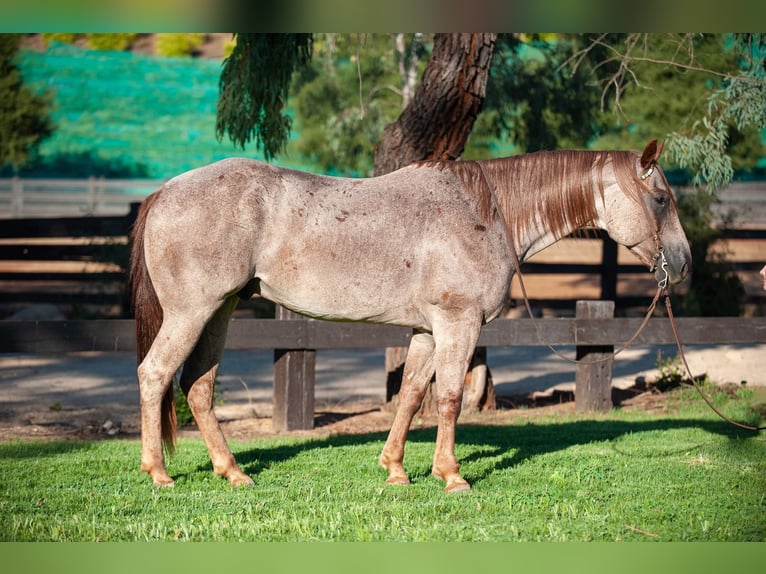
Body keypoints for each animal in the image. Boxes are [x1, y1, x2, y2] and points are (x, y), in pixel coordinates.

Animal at [129, 141, 692, 496]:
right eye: (661, 199)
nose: (683, 263)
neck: (485, 211)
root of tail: (164, 192)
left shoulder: (426, 329)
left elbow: (412, 393)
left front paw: (395, 470)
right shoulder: (458, 324)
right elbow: (449, 398)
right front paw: (452, 475)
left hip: (220, 310)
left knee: (198, 386)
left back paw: (234, 473)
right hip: (192, 312)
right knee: (155, 375)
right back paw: (159, 474)